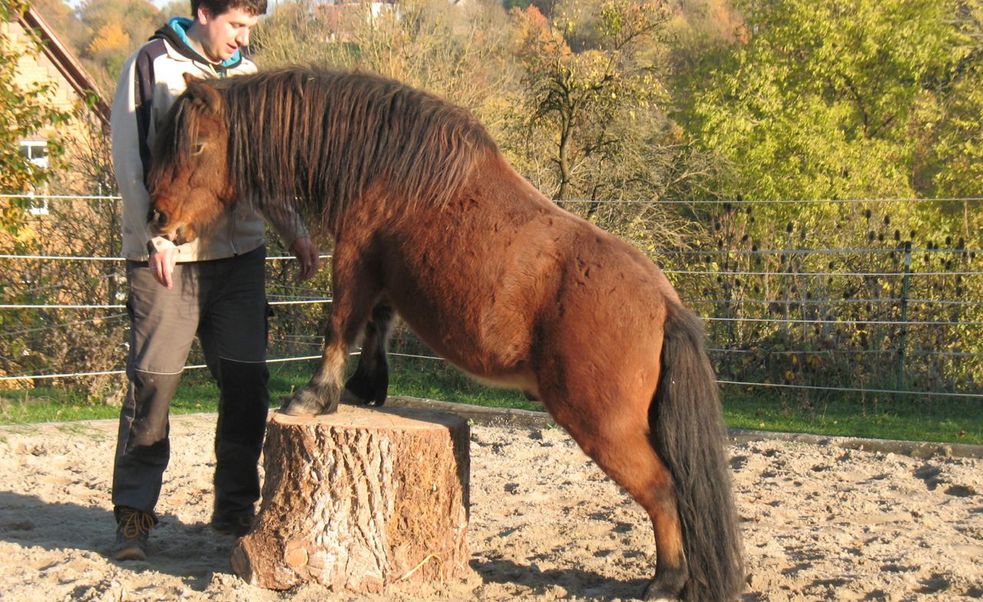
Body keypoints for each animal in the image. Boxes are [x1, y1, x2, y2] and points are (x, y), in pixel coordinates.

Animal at [146, 67, 744, 600]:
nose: (158, 216)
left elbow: (341, 325)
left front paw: (316, 397)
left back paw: (664, 584)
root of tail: (665, 305)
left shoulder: (356, 257)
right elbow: (377, 327)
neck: (387, 162)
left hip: (605, 429)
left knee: (664, 491)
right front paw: (366, 389)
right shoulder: (383, 273)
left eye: (196, 146)